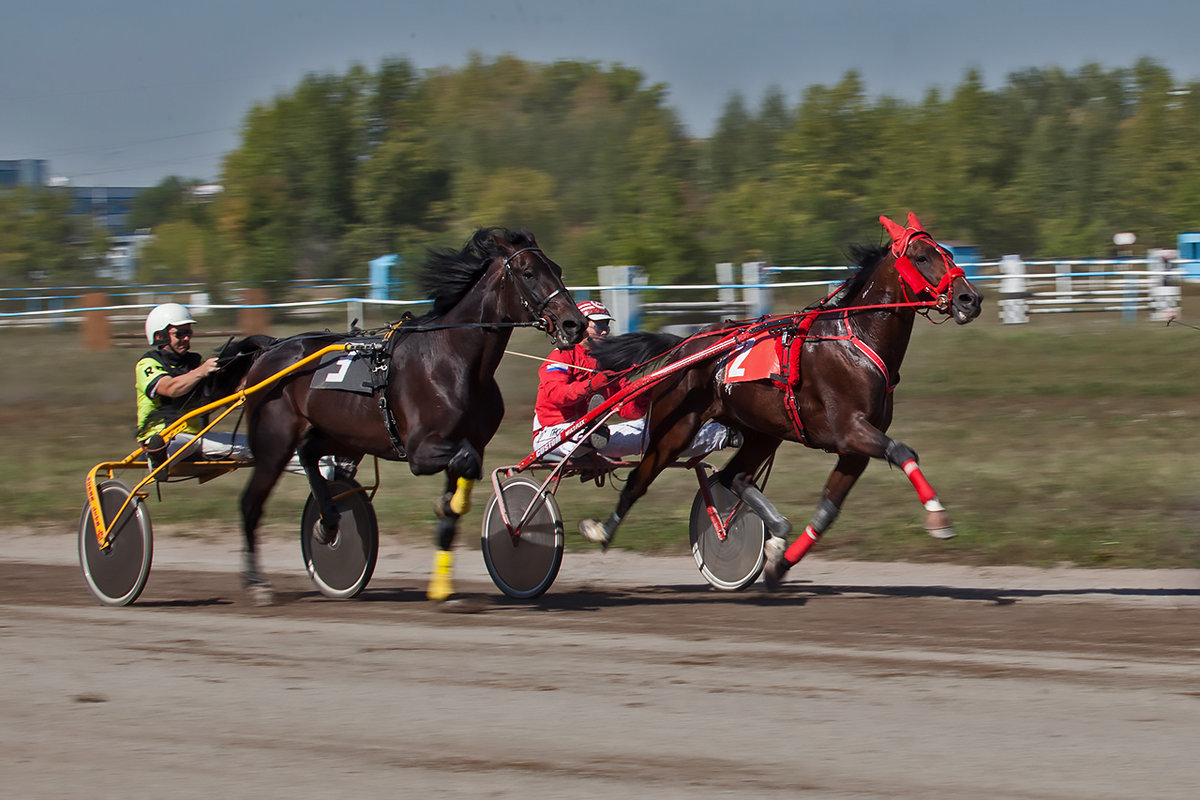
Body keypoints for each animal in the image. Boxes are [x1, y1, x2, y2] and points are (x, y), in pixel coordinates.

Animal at [236, 227, 583, 604]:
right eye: (528, 272)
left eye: (558, 269)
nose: (575, 323)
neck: (455, 360)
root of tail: (269, 349)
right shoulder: (421, 450)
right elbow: (466, 463)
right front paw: (449, 507)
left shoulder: (472, 440)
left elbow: (462, 483)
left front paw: (443, 585)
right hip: (274, 441)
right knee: (251, 503)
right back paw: (256, 583)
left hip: (339, 433)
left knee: (310, 454)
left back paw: (328, 520)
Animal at [583, 212, 984, 587]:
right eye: (921, 257)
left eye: (948, 253)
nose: (971, 298)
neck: (856, 340)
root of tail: (685, 346)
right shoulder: (849, 430)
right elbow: (902, 451)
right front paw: (938, 514)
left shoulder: (854, 449)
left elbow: (827, 511)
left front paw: (779, 564)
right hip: (676, 429)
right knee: (639, 479)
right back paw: (602, 530)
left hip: (762, 431)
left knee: (734, 476)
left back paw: (776, 529)